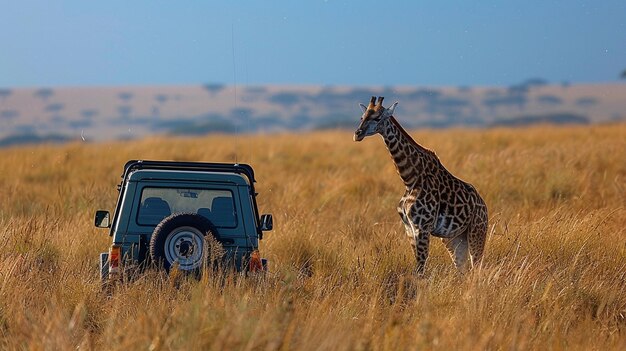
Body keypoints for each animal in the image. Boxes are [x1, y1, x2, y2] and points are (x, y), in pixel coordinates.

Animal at [354, 96, 486, 276]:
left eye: (377, 118)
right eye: (362, 117)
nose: (357, 134)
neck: (410, 179)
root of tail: (484, 206)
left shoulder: (422, 227)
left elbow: (420, 269)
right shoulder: (409, 228)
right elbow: (418, 267)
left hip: (477, 233)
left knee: (476, 267)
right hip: (454, 238)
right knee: (462, 269)